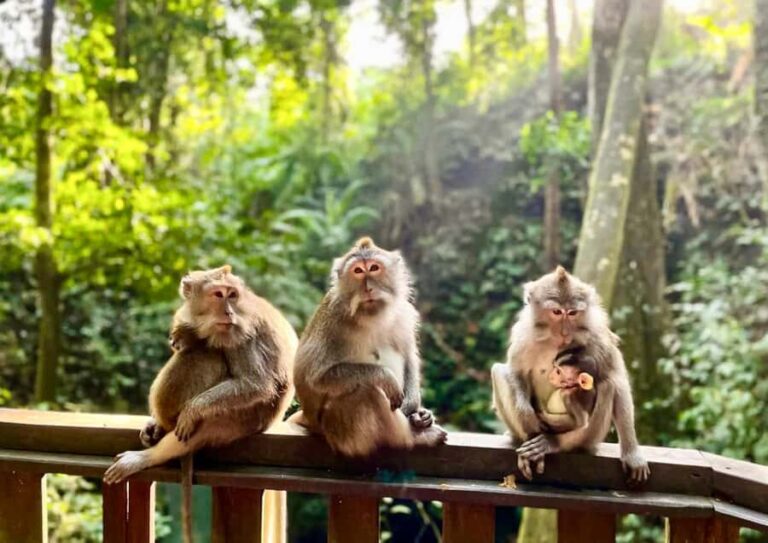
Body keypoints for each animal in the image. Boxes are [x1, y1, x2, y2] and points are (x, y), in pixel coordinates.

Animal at [103, 265, 298, 542]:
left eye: (231, 295)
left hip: (243, 418)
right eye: (218, 294)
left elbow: (256, 383)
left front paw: (192, 410)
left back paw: (148, 455)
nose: (229, 312)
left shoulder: (242, 332)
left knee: (207, 356)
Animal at [289, 237, 446, 457]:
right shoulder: (332, 322)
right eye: (357, 271)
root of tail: (311, 421)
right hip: (340, 431)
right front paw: (385, 377)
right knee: (368, 391)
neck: (370, 316)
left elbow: (409, 357)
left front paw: (415, 409)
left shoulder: (403, 314)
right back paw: (414, 437)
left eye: (373, 268)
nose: (368, 288)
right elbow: (316, 377)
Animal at [491, 266, 650, 484]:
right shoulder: (523, 335)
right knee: (498, 371)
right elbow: (516, 372)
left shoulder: (597, 334)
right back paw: (525, 438)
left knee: (608, 385)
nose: (565, 332)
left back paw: (553, 442)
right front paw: (527, 415)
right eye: (557, 312)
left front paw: (632, 454)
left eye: (573, 313)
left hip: (589, 436)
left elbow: (618, 380)